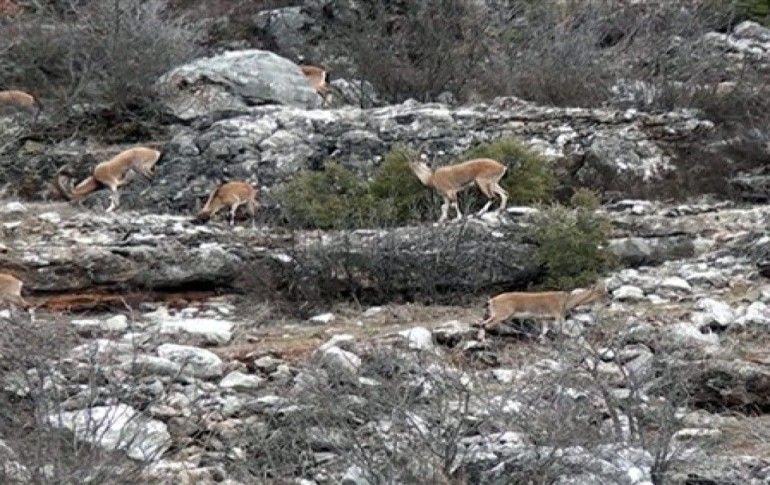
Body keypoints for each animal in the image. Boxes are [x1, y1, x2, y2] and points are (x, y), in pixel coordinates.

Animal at [477, 281, 608, 341]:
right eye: (599, 292)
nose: (608, 302)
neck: (566, 301)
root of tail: (492, 301)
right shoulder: (558, 315)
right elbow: (563, 330)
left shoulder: (544, 319)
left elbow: (544, 331)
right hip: (502, 314)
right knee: (486, 324)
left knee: (483, 323)